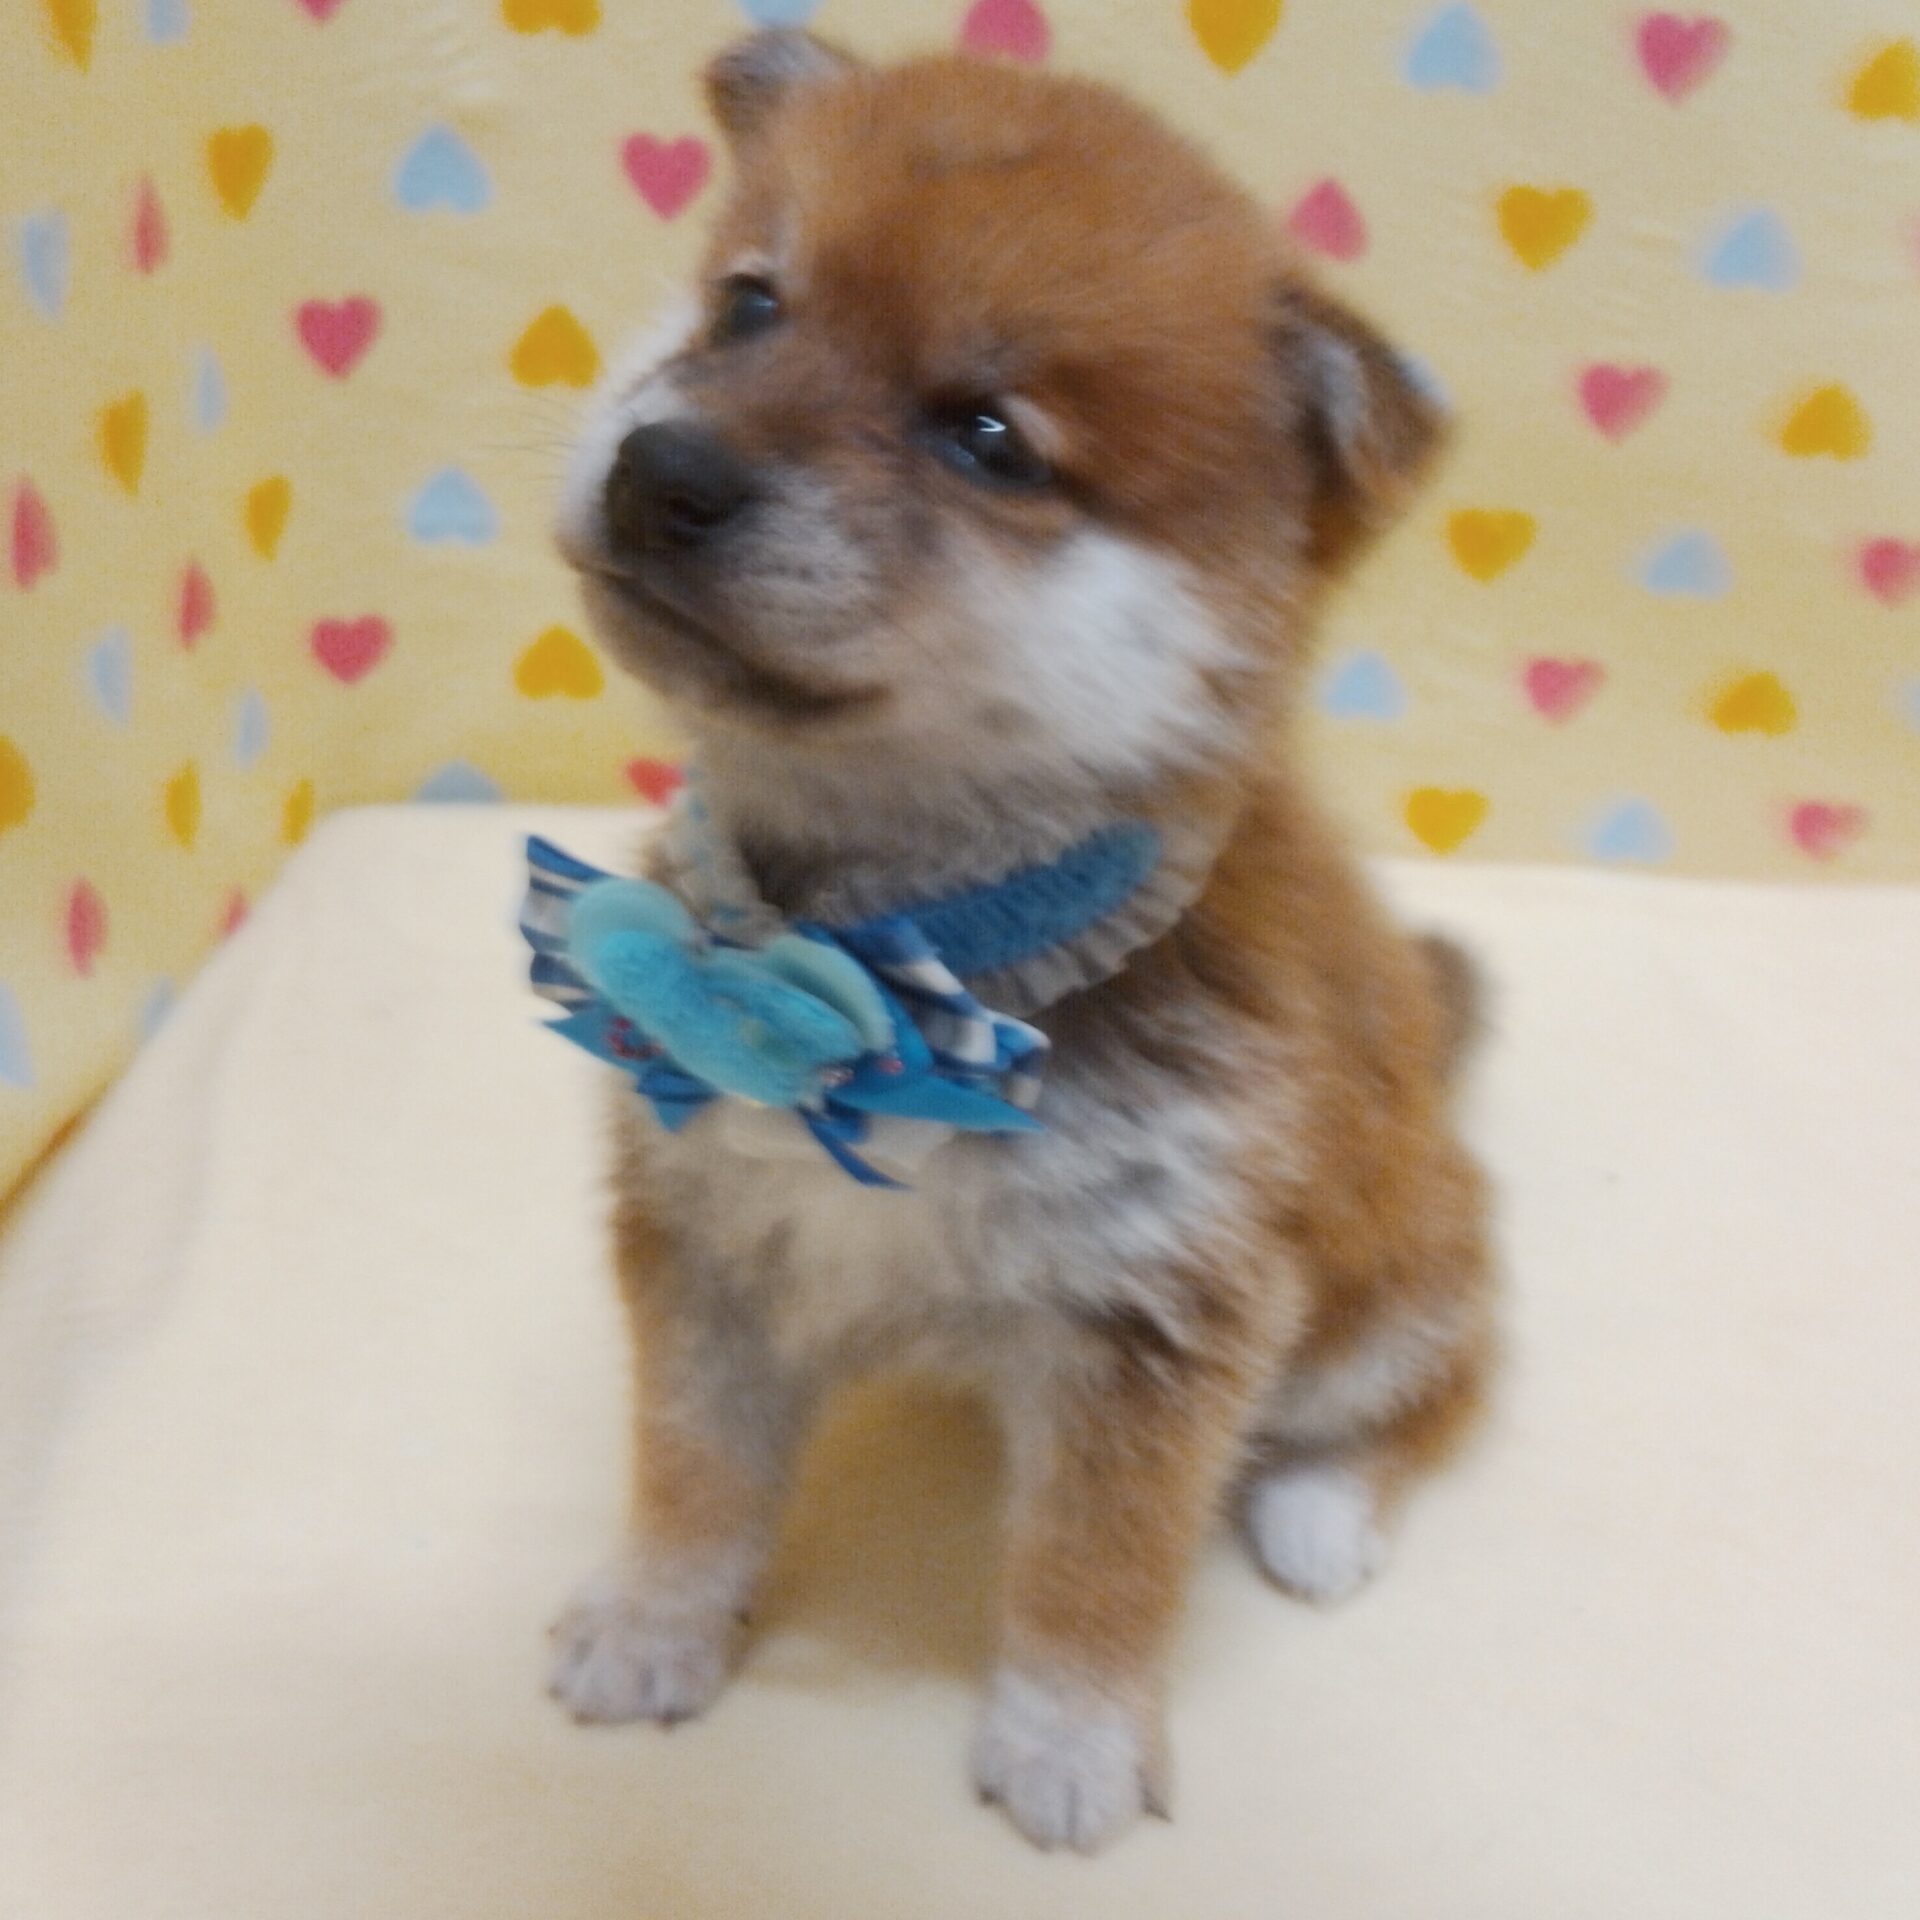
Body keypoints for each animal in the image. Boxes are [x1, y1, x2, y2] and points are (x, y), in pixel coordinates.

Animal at [544, 30, 1494, 1855]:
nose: (663, 470)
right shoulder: (703, 1236)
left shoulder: (1160, 1318)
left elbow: (1094, 1564)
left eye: (987, 437)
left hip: (1389, 1291)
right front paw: (657, 1622)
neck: (895, 956)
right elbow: (693, 1468)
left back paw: (1325, 1512)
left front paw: (1070, 1742)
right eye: (748, 307)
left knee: (1434, 1389)